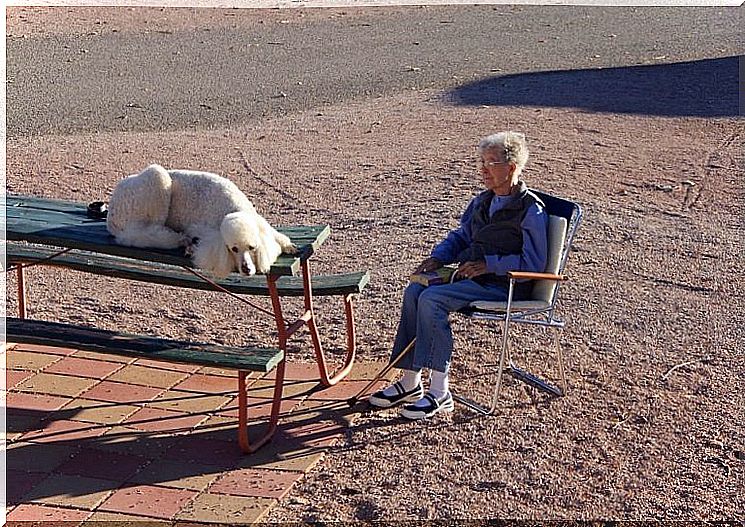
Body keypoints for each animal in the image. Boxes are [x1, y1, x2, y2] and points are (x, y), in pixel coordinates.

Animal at [106, 164, 298, 280]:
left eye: (252, 247)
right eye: (233, 249)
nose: (246, 270)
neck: (236, 208)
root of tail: (112, 211)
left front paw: (288, 245)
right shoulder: (205, 229)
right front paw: (191, 246)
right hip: (155, 180)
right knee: (139, 234)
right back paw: (180, 240)